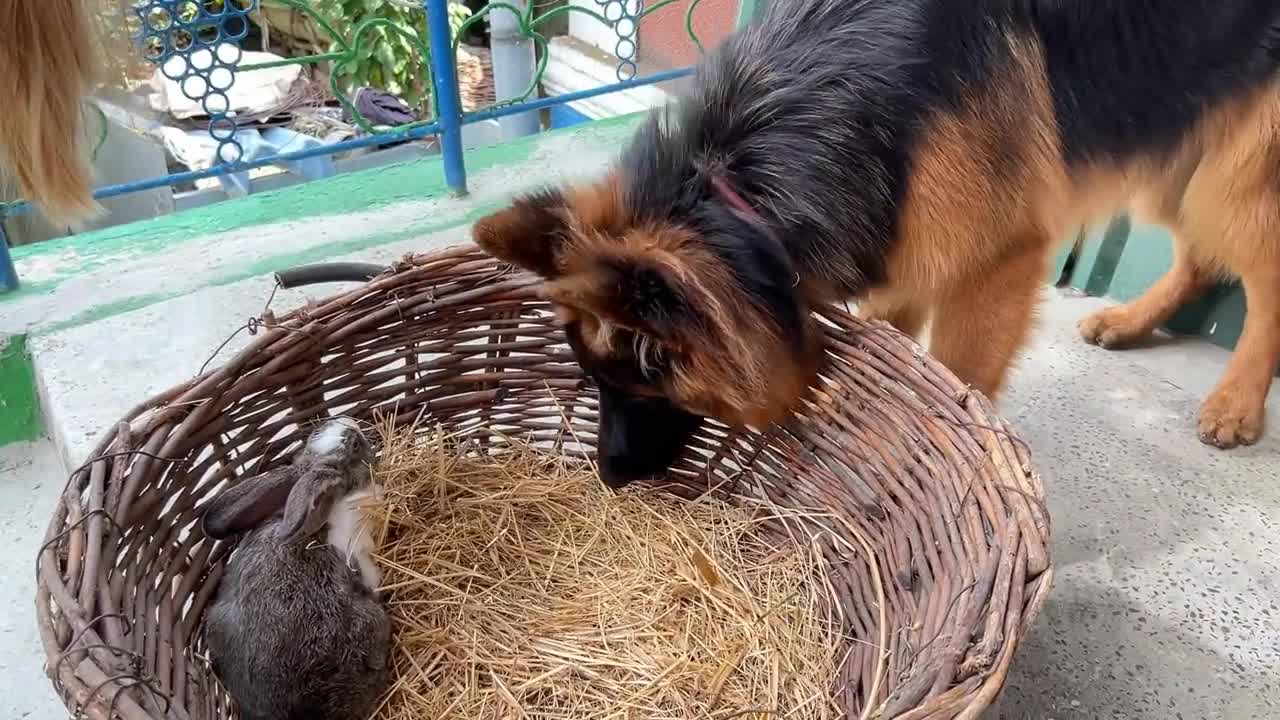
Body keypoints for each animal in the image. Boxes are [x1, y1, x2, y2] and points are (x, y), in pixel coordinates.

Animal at [473, 0, 1280, 486]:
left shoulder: (994, 266)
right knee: (1199, 254)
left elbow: (958, 380)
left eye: (640, 384)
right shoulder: (902, 248)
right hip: (1186, 147)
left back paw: (1237, 402)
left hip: (1233, 181)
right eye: (593, 381)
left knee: (1263, 277)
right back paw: (1131, 319)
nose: (606, 478)